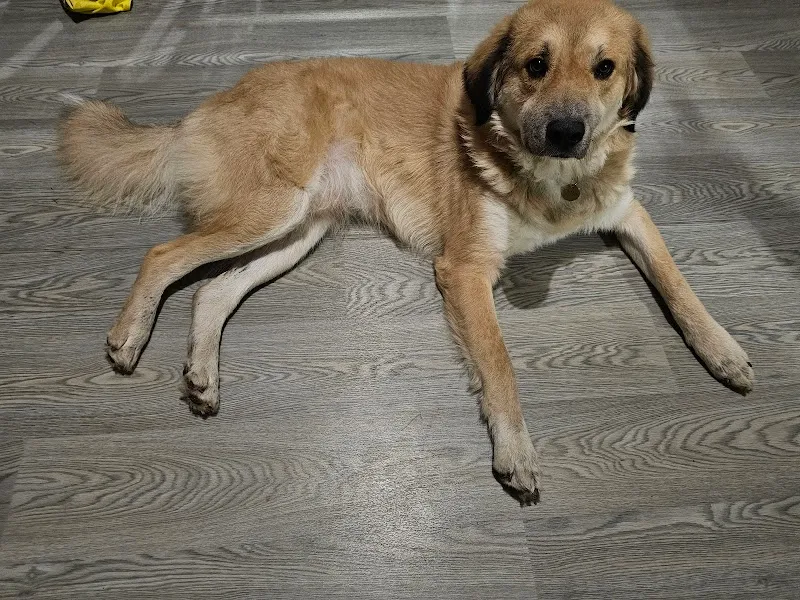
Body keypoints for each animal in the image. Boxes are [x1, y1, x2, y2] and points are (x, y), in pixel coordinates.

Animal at [59, 0, 754, 504]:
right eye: (535, 65)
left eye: (604, 68)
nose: (566, 132)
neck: (552, 179)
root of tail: (206, 107)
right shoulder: (464, 270)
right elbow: (500, 366)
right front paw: (516, 453)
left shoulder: (629, 214)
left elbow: (678, 283)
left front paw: (722, 350)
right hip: (270, 210)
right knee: (163, 255)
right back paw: (128, 336)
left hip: (298, 229)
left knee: (212, 288)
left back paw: (202, 374)